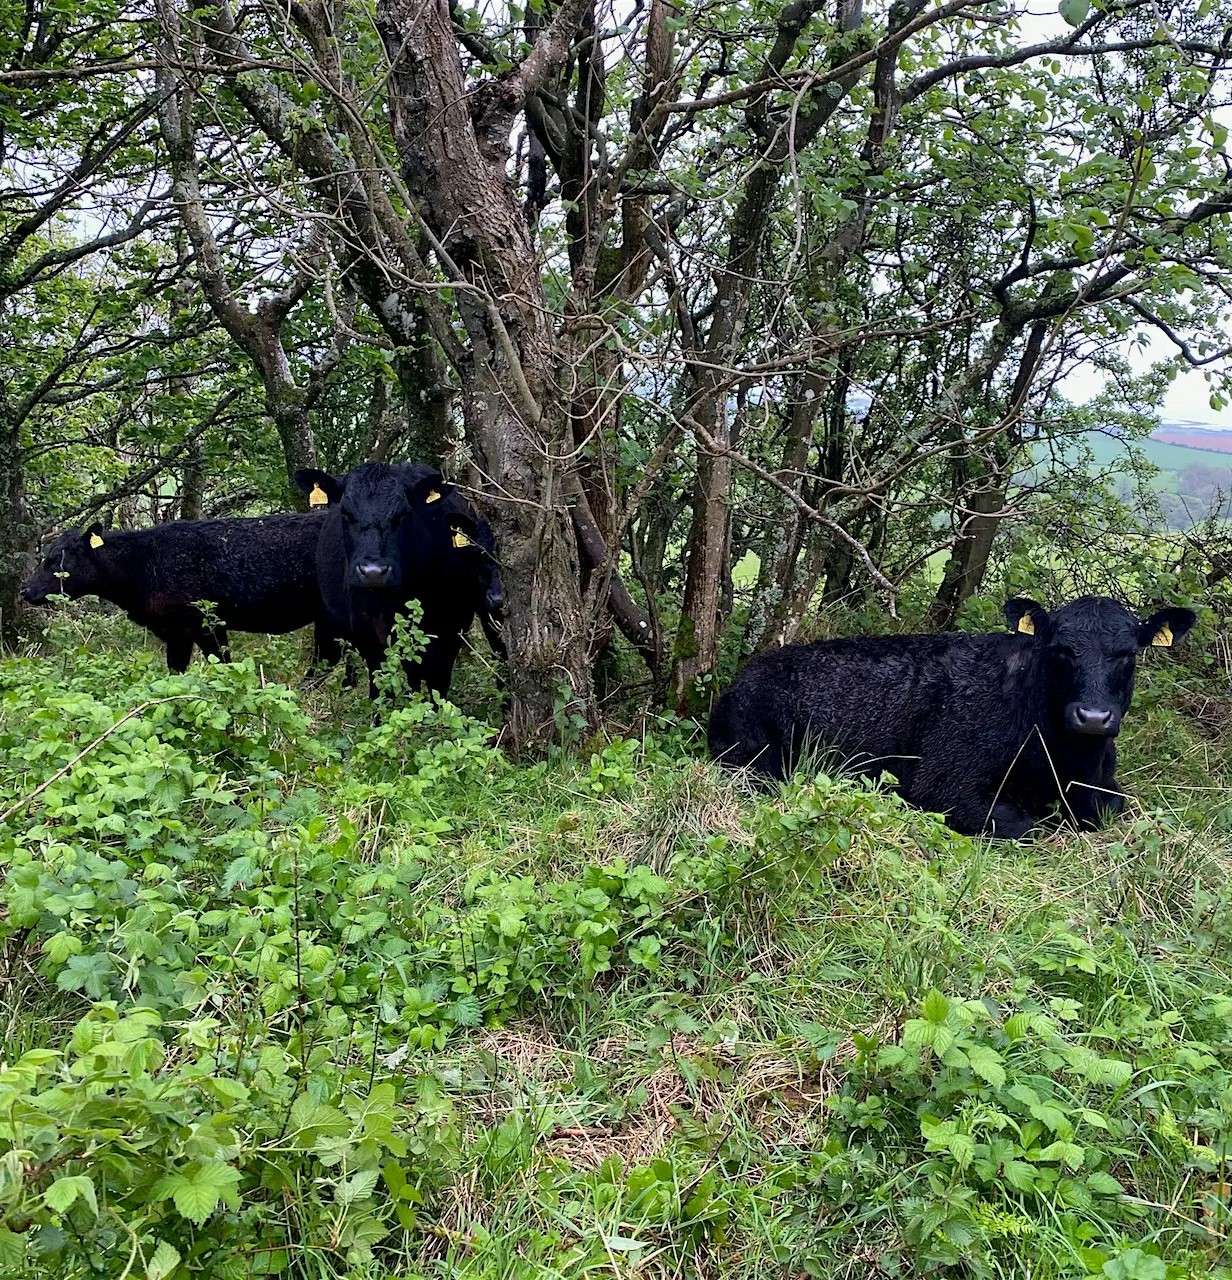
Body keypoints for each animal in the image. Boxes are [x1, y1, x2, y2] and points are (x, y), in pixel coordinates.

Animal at [20, 514, 340, 674]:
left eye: (55, 559)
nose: (25, 590)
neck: (143, 562)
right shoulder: (177, 630)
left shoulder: (200, 624)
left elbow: (218, 664)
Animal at [293, 460, 505, 697]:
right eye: (346, 514)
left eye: (402, 514)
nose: (373, 572)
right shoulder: (366, 634)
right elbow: (380, 686)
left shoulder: (449, 633)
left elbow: (437, 687)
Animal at [708, 595, 1197, 838]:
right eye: (1061, 649)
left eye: (1128, 654)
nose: (1092, 717)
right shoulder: (943, 785)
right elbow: (1026, 826)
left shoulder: (1104, 787)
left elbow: (1110, 808)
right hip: (757, 761)